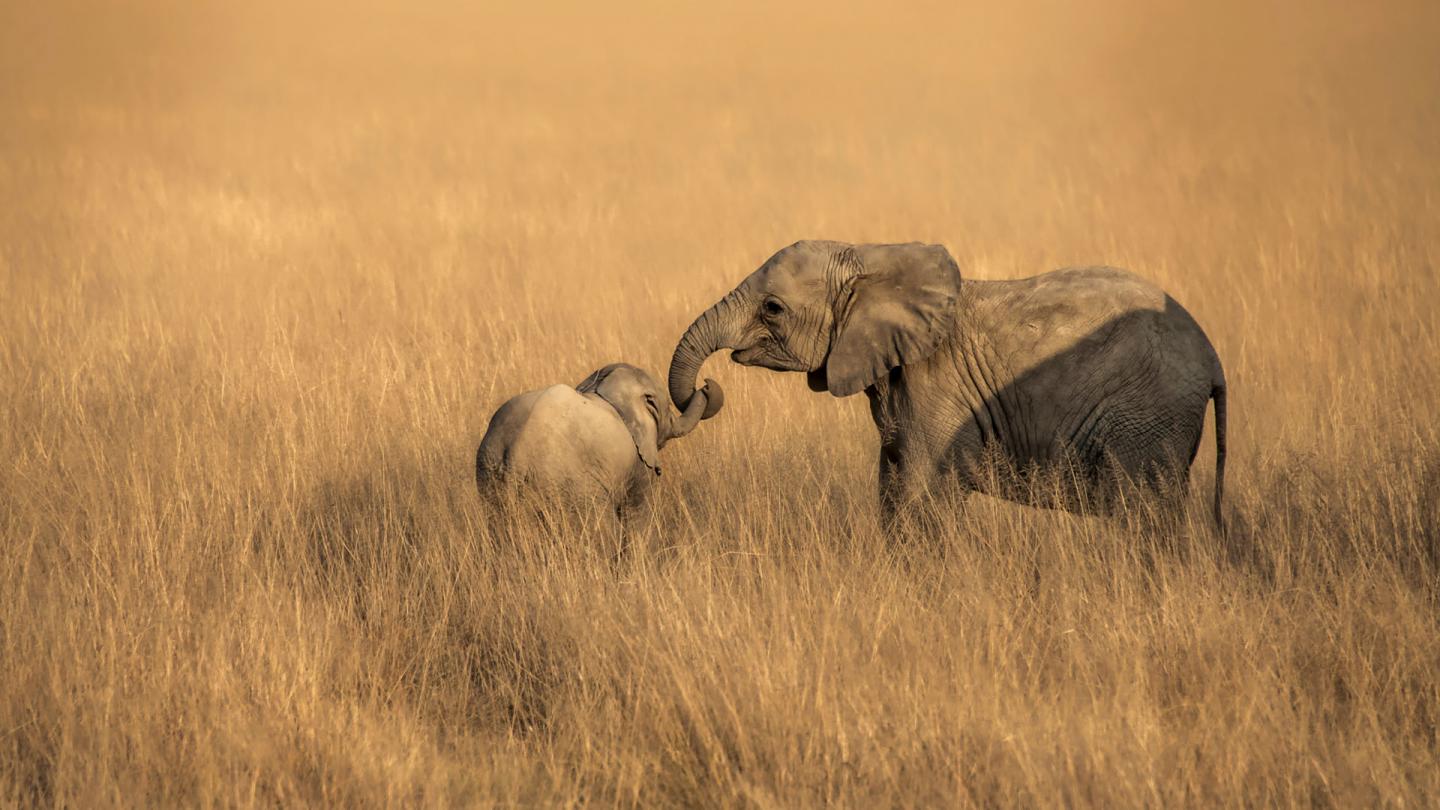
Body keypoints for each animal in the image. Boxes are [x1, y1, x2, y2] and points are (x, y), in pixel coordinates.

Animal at [476, 363, 723, 519]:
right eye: (666, 408)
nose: (706, 384)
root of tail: (517, 452)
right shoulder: (639, 464)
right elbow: (637, 512)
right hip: (572, 489)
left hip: (489, 473)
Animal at [668, 240, 1227, 528]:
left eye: (772, 308)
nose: (707, 388)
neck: (871, 260)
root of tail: (1212, 358)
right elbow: (892, 486)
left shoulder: (936, 387)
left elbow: (920, 493)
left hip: (1146, 415)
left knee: (1141, 515)